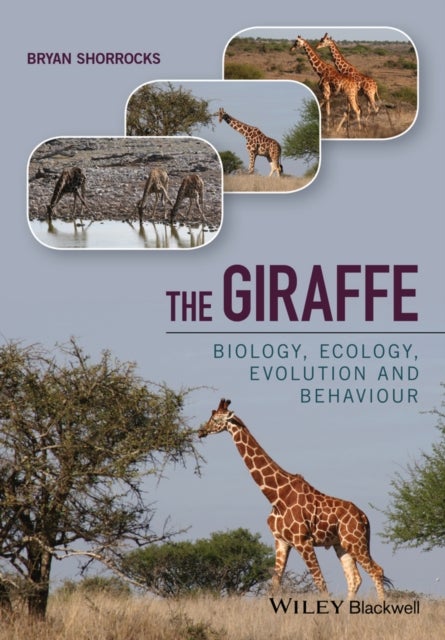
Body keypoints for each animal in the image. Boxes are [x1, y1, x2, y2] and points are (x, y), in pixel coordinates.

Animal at [198, 399, 391, 600]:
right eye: (211, 415)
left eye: (216, 419)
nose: (201, 431)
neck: (276, 496)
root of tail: (364, 517)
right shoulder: (281, 541)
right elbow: (275, 583)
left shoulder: (303, 541)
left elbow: (320, 582)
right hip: (342, 544)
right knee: (354, 579)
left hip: (355, 542)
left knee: (376, 571)